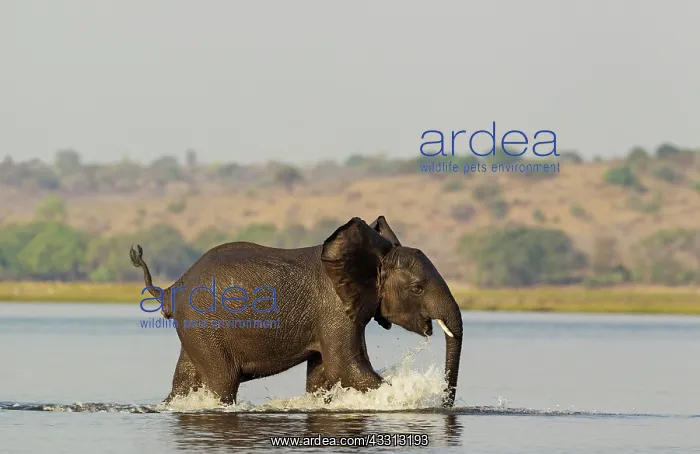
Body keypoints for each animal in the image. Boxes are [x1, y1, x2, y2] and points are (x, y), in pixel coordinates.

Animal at [130, 215, 463, 407]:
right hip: (204, 327)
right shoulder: (335, 309)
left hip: (196, 330)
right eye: (417, 288)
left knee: (184, 382)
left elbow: (323, 375)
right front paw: (406, 398)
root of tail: (172, 289)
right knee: (222, 382)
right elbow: (346, 367)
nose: (444, 405)